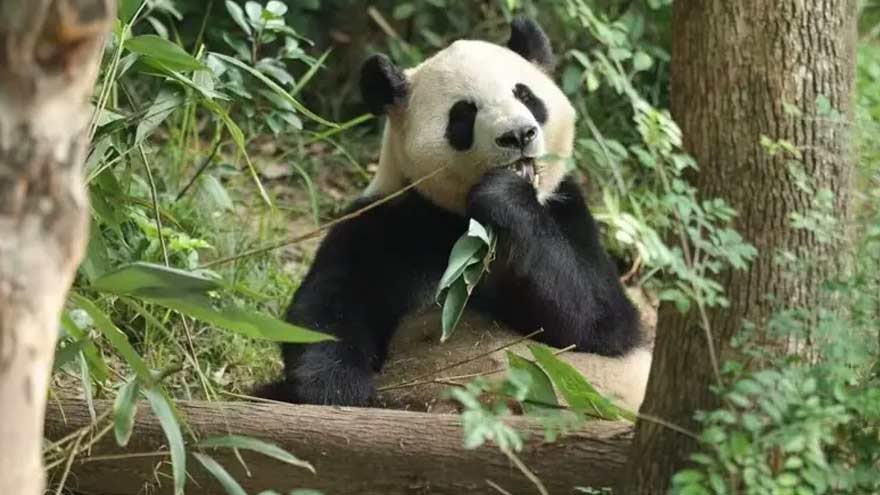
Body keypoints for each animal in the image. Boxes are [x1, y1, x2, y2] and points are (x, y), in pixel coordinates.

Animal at [258, 17, 652, 409]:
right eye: (464, 113)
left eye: (526, 95)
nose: (518, 134)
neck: (460, 219)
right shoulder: (387, 219)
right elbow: (328, 311)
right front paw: (340, 391)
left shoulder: (565, 207)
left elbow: (600, 322)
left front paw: (505, 195)